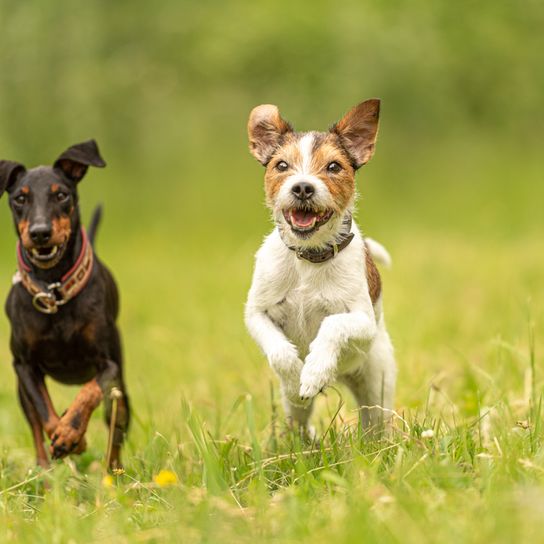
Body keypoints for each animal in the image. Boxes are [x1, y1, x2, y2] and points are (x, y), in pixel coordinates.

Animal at [0, 140, 129, 468]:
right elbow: (45, 414)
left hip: (120, 393)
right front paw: (71, 438)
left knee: (115, 428)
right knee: (35, 426)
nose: (40, 233)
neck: (54, 289)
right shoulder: (24, 366)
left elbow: (89, 391)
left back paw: (113, 472)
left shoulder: (108, 363)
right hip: (20, 391)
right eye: (20, 199)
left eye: (61, 195)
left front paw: (71, 432)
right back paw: (43, 471)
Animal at [245, 100, 396, 432]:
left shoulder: (363, 322)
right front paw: (295, 378)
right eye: (282, 166)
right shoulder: (256, 314)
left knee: (375, 424)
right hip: (299, 412)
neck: (309, 258)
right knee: (300, 422)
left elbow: (333, 324)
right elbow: (279, 352)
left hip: (377, 386)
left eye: (334, 167)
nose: (302, 187)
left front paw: (315, 370)